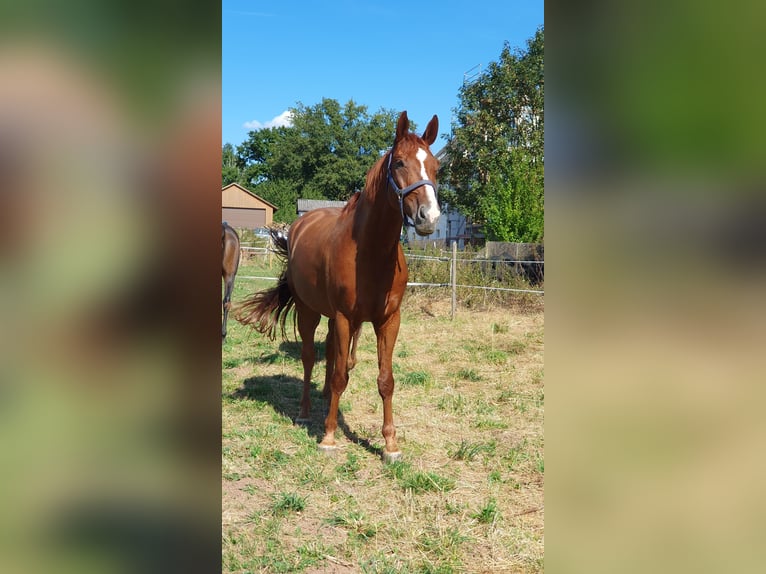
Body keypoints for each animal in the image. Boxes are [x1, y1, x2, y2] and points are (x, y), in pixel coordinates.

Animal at [235, 111, 440, 462]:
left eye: (437, 167)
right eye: (400, 162)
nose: (430, 216)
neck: (370, 252)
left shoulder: (389, 320)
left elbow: (384, 380)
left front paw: (390, 445)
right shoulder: (346, 318)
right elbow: (341, 375)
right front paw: (329, 437)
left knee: (331, 354)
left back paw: (323, 399)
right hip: (309, 311)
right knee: (308, 357)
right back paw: (306, 411)